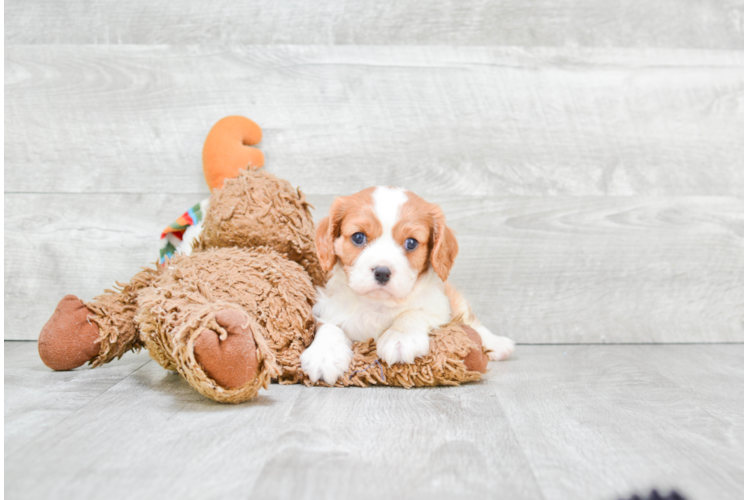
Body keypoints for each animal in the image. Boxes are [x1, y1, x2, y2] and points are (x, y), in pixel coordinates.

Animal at [300, 186, 516, 384]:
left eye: (411, 243)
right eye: (358, 237)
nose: (382, 272)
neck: (377, 304)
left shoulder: (439, 307)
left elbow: (413, 312)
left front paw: (400, 338)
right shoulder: (328, 308)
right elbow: (329, 327)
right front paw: (324, 355)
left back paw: (497, 343)